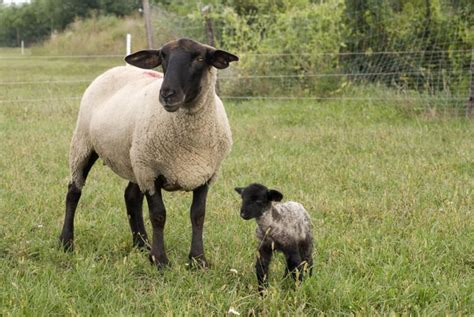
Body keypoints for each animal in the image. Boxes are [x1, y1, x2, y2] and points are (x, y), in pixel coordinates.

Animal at [59, 38, 239, 268]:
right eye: (163, 56)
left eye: (199, 58)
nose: (167, 94)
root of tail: (117, 68)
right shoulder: (151, 173)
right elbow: (158, 215)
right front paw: (160, 260)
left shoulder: (205, 174)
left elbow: (198, 215)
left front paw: (198, 260)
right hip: (84, 143)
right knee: (74, 191)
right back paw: (66, 242)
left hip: (134, 159)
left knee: (131, 197)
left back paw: (142, 244)